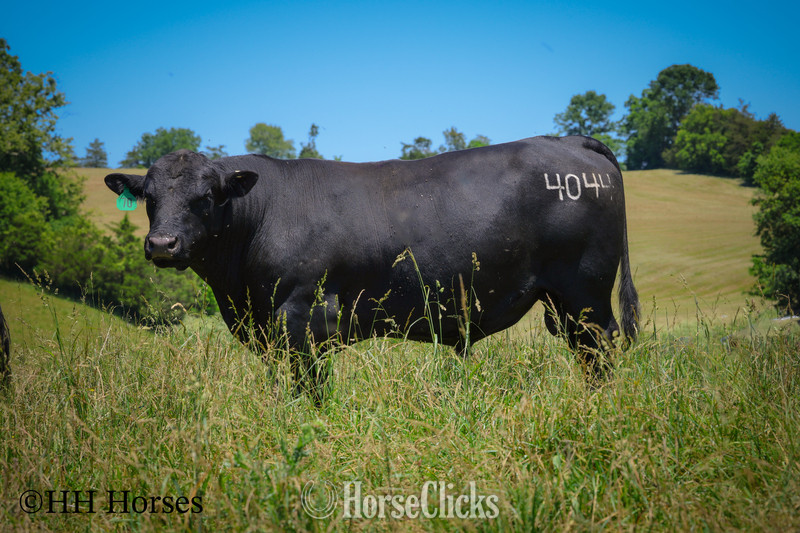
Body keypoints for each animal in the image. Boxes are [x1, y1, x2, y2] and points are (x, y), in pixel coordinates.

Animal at [105, 135, 639, 401]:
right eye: (149, 197)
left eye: (205, 196)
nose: (162, 244)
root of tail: (567, 139)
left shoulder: (301, 314)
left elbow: (308, 387)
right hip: (564, 301)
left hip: (585, 291)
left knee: (600, 349)